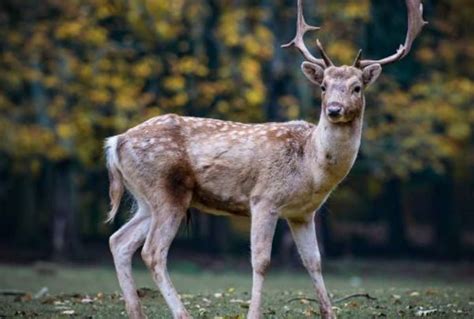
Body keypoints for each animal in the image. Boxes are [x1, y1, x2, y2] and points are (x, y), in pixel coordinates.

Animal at [105, 0, 428, 319]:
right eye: (323, 86)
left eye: (356, 87)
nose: (334, 109)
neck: (310, 168)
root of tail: (115, 142)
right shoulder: (264, 199)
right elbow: (261, 261)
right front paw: (253, 313)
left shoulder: (303, 213)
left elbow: (314, 261)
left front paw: (329, 313)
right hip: (167, 191)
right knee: (152, 252)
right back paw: (181, 313)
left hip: (146, 199)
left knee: (119, 241)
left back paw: (136, 311)